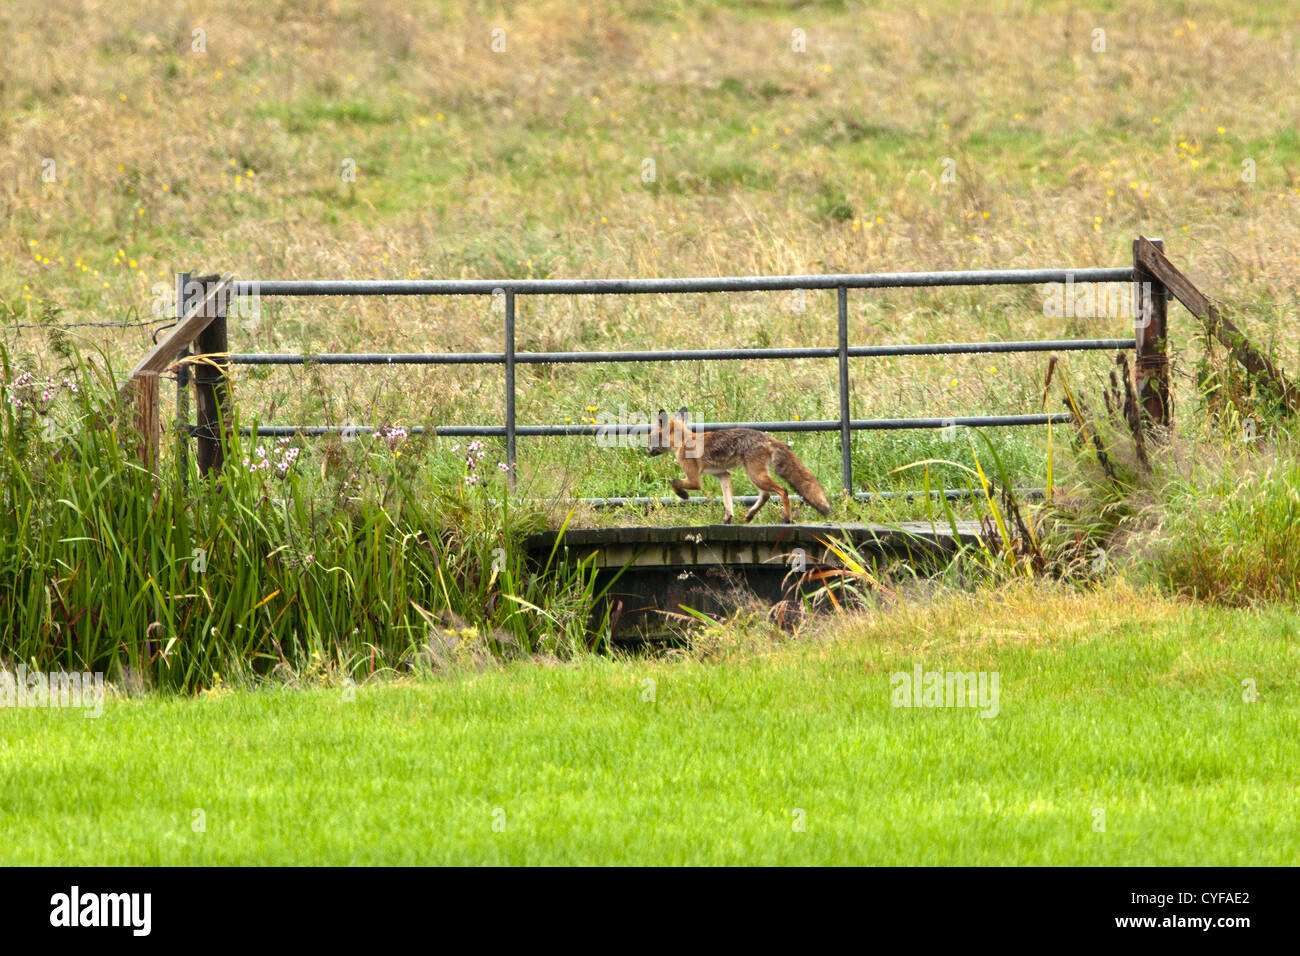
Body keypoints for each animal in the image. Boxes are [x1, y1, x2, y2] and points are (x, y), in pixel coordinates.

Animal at [646, 407, 833, 524]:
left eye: (651, 437)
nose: (646, 450)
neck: (683, 442)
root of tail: (767, 437)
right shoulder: (722, 474)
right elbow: (727, 501)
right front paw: (728, 519)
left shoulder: (694, 479)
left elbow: (674, 482)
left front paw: (683, 495)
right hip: (756, 475)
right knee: (766, 495)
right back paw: (750, 515)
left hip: (756, 475)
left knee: (782, 490)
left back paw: (787, 519)